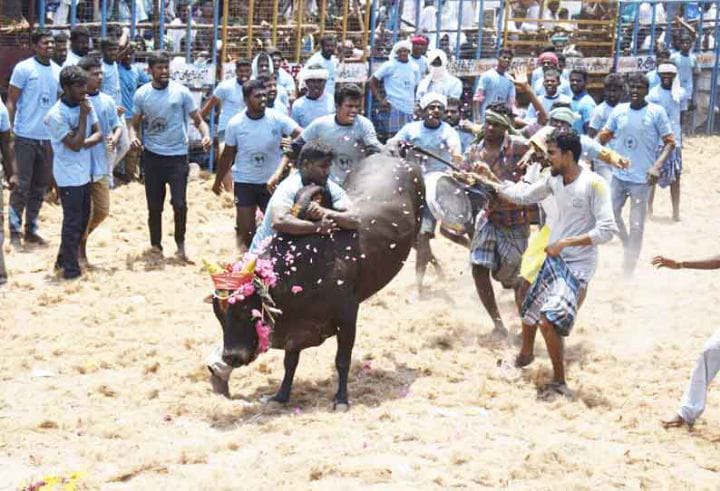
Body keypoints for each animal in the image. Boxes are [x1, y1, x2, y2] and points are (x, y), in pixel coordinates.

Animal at [214, 156, 428, 410]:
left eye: (244, 311)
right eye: (219, 316)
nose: (230, 357)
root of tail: (396, 157)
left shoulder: (348, 317)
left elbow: (342, 360)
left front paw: (341, 399)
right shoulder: (295, 329)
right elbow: (290, 362)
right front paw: (281, 395)